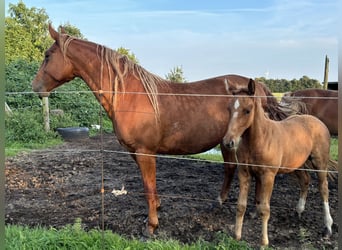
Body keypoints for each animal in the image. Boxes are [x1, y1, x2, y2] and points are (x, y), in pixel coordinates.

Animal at [32, 24, 288, 235]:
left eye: (47, 55)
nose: (35, 87)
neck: (129, 94)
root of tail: (258, 87)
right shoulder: (136, 152)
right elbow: (150, 186)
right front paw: (157, 207)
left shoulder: (145, 152)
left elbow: (147, 185)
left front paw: (151, 226)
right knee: (231, 169)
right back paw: (222, 201)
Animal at [222, 79, 334, 246]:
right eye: (229, 109)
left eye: (247, 110)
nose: (229, 142)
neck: (259, 140)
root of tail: (316, 121)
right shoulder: (244, 173)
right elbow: (241, 206)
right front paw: (236, 236)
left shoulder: (268, 176)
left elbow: (265, 209)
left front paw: (264, 242)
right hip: (296, 164)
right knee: (305, 181)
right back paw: (298, 211)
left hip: (320, 163)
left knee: (323, 188)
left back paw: (327, 227)